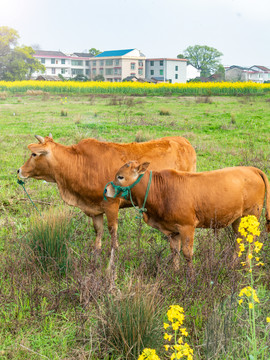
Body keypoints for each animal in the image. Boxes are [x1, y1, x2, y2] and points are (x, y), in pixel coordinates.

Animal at [17, 134, 196, 253]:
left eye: (34, 154)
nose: (19, 170)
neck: (79, 164)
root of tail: (183, 140)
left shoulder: (111, 204)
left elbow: (112, 229)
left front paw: (114, 250)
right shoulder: (95, 208)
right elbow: (98, 230)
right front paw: (96, 250)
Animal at [105, 160, 270, 276]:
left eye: (120, 176)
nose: (106, 189)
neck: (161, 191)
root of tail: (252, 169)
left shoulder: (187, 227)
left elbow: (187, 253)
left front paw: (190, 276)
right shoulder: (172, 230)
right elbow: (175, 252)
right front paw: (175, 272)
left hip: (252, 215)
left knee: (252, 239)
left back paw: (247, 265)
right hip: (238, 219)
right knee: (239, 240)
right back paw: (233, 264)